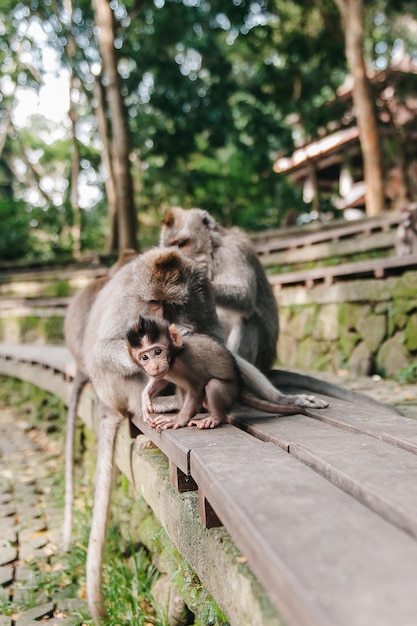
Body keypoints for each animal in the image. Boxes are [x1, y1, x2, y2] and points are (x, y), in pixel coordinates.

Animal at [126, 312, 306, 428]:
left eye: (158, 352)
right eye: (144, 357)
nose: (154, 366)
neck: (174, 357)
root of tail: (239, 387)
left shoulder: (185, 362)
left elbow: (197, 386)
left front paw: (177, 420)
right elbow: (161, 378)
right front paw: (146, 397)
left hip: (229, 392)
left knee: (213, 385)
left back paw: (215, 418)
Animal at [159, 205, 280, 372]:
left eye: (181, 243)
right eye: (169, 245)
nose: (175, 256)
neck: (212, 254)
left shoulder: (233, 251)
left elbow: (245, 297)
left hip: (261, 358)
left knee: (249, 319)